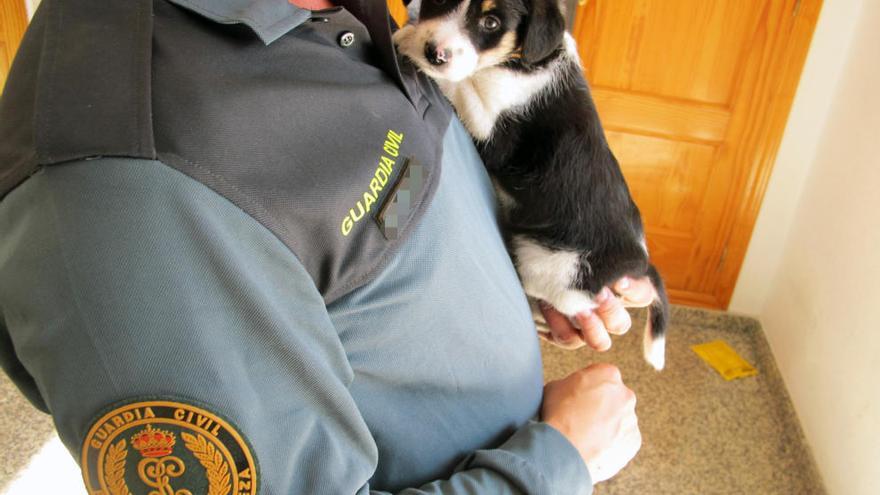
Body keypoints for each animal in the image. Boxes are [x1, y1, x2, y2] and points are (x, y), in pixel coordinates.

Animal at [392, 0, 668, 368]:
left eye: (491, 22)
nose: (433, 52)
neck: (519, 60)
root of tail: (639, 261)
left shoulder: (490, 128)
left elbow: (458, 84)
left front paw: (406, 42)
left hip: (554, 269)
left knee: (555, 298)